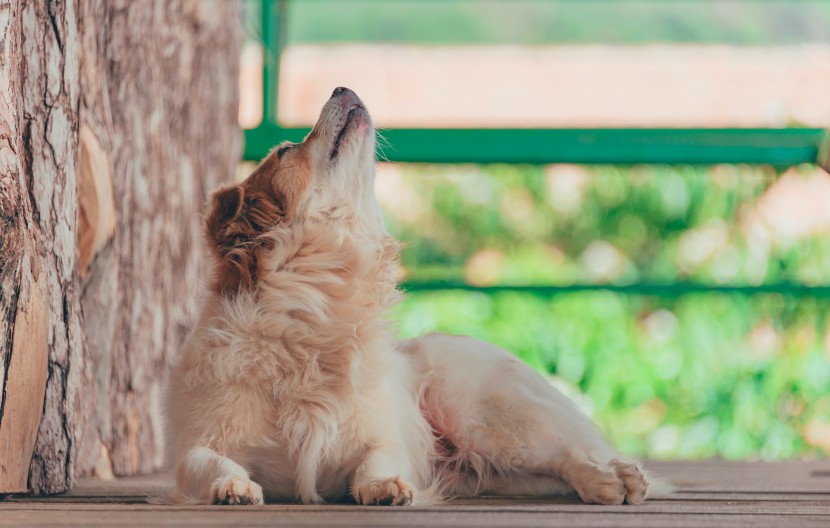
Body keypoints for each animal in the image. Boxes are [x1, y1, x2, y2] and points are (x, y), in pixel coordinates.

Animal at [166, 86, 652, 508]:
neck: (312, 310)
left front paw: (383, 486)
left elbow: (377, 460)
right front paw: (233, 485)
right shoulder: (197, 446)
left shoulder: (382, 438)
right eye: (286, 152)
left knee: (562, 454)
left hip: (487, 423)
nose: (342, 86)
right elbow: (210, 462)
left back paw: (611, 478)